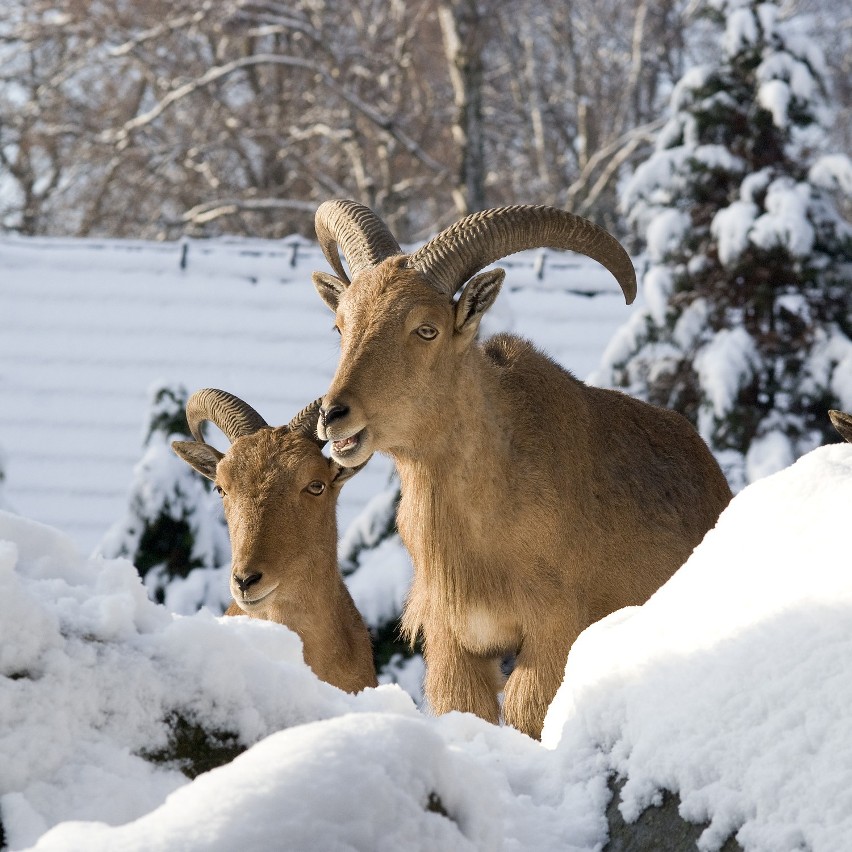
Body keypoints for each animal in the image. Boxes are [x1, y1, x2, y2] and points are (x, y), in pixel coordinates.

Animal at [312, 201, 732, 740]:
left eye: (426, 329)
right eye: (341, 326)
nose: (333, 415)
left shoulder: (555, 629)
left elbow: (528, 711)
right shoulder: (454, 642)